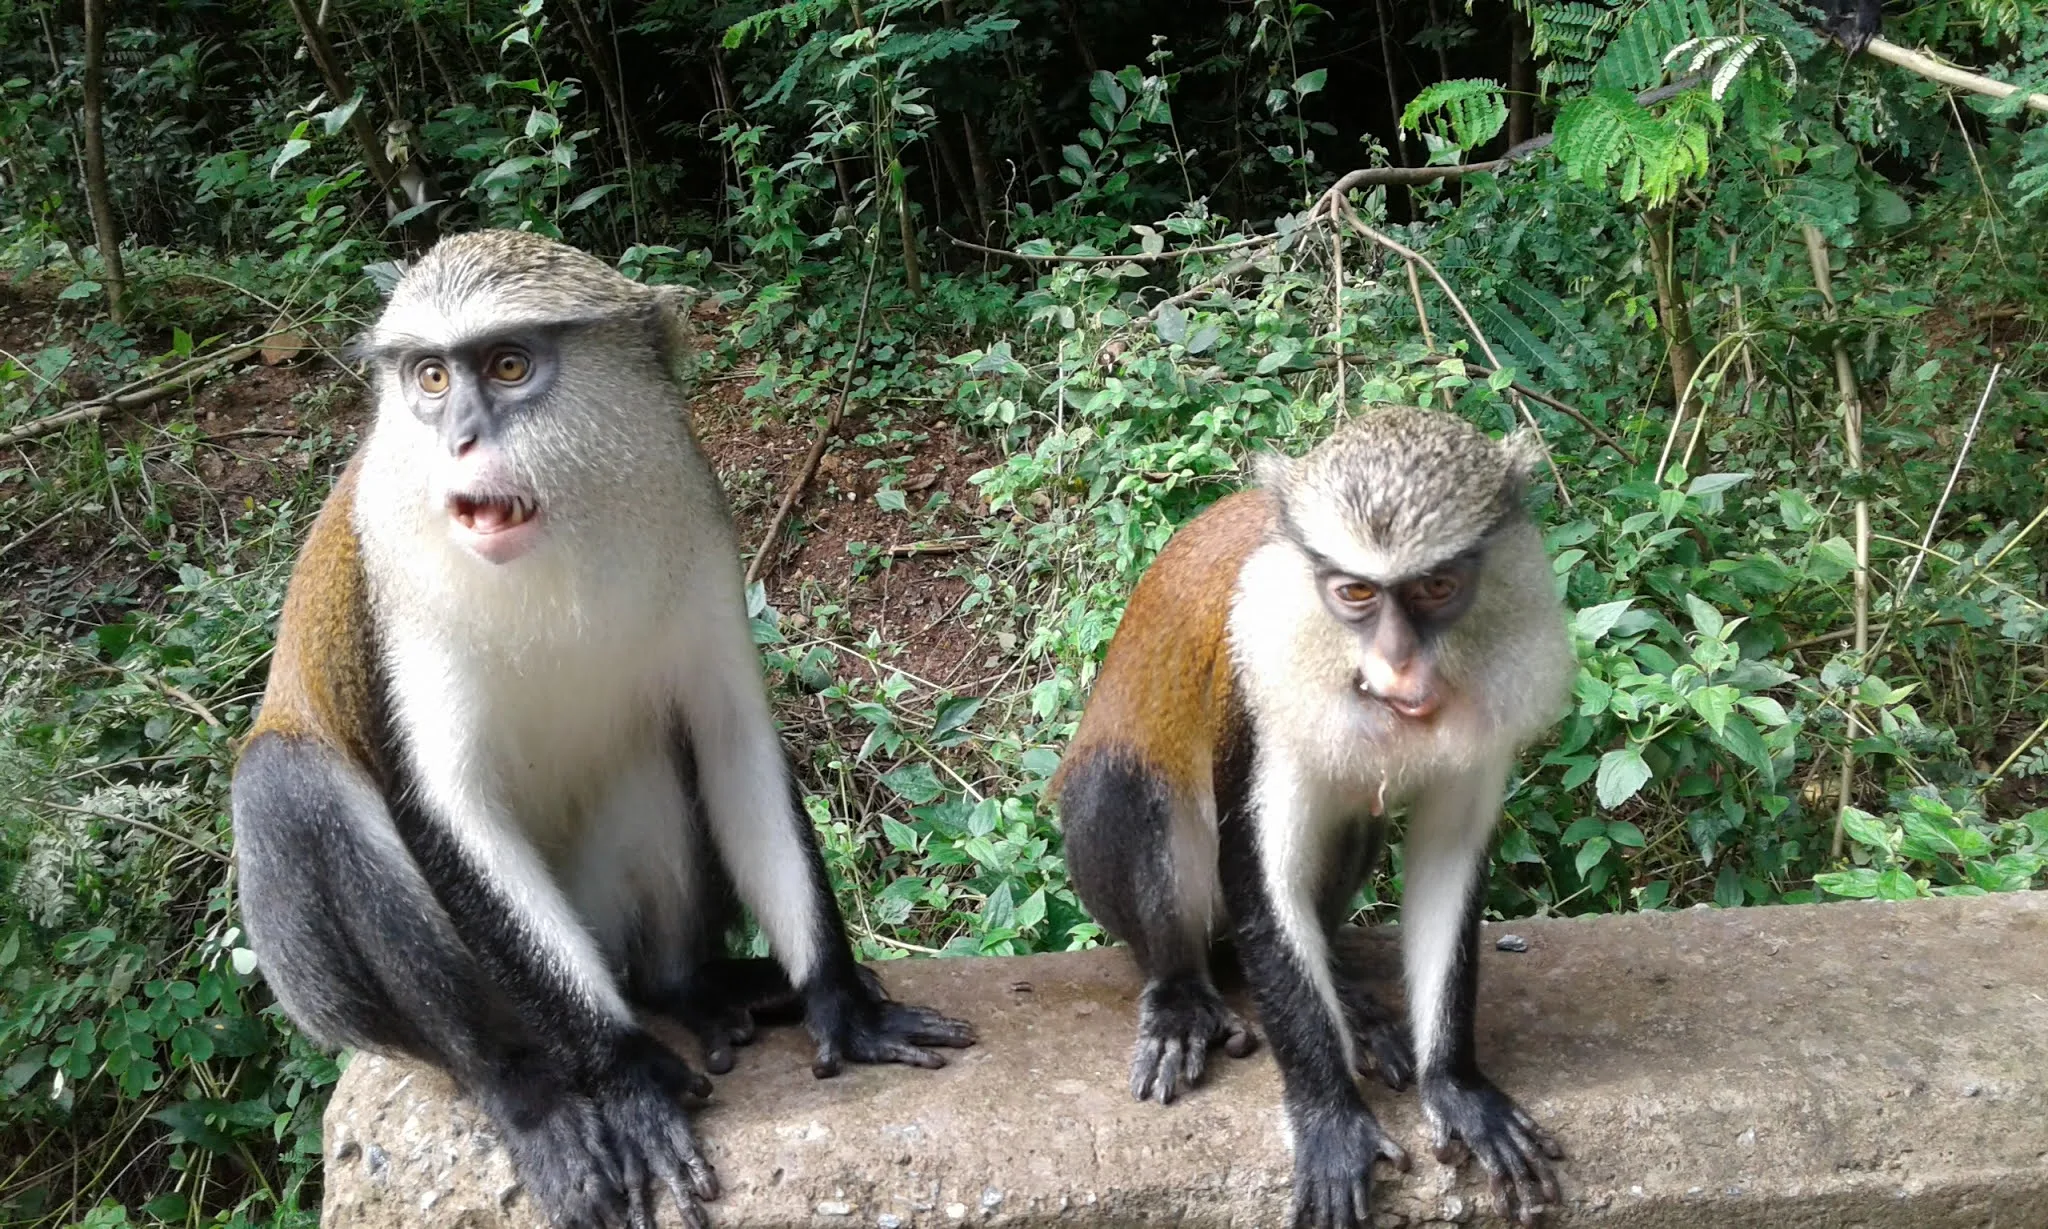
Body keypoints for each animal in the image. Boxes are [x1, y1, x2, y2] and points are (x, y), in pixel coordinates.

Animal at [229, 230, 974, 1229]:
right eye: (431, 377)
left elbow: (731, 738)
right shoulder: (402, 607)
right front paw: (625, 1078)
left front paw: (843, 1001)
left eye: (509, 366)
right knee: (285, 784)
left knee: (655, 758)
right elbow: (452, 808)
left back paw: (690, 987)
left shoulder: (697, 537)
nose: (460, 437)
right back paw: (531, 1092)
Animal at [1054, 406, 1576, 1228]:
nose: (1399, 667)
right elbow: (1261, 876)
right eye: (1356, 592)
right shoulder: (1256, 686)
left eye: (1436, 586)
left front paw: (1458, 1086)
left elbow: (1447, 859)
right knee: (1128, 792)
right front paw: (1330, 1118)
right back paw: (1180, 993)